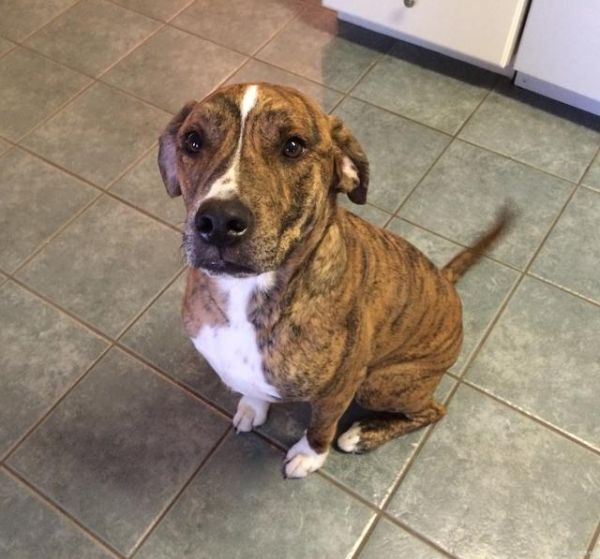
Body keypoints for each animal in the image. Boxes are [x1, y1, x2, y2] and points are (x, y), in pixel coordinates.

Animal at [158, 83, 510, 478]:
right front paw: (252, 405)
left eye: (293, 146)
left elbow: (321, 425)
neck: (245, 295)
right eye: (193, 141)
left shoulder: (341, 387)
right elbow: (256, 389)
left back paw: (362, 434)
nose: (218, 221)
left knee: (432, 411)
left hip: (380, 383)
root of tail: (445, 280)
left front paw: (309, 455)